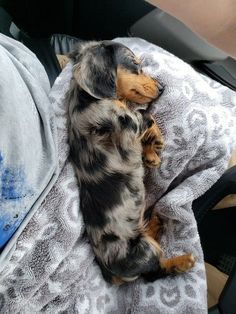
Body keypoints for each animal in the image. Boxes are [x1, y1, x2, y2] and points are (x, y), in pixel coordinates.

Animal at [66, 39, 195, 282]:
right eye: (135, 63)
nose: (162, 88)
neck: (87, 99)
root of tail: (111, 274)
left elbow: (146, 118)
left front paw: (151, 154)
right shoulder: (126, 122)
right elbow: (147, 115)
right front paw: (155, 143)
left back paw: (154, 222)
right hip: (144, 250)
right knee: (154, 272)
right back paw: (182, 262)